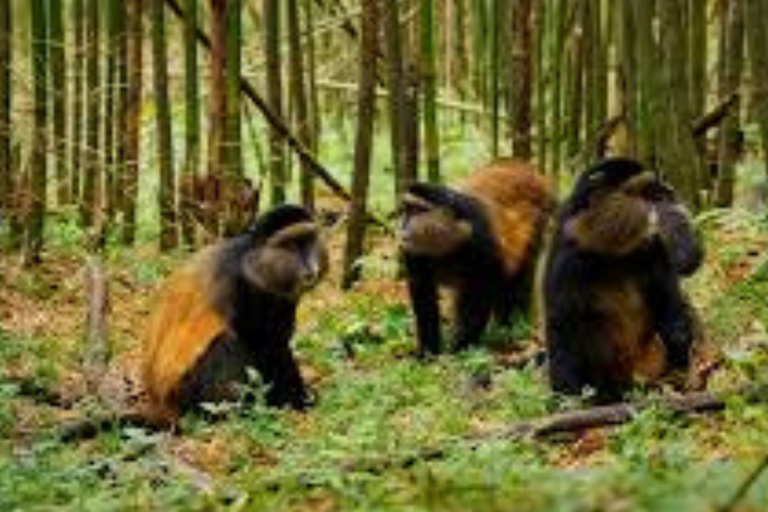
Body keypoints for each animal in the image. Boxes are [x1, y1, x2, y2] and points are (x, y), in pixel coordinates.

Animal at [142, 204, 327, 424]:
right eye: (290, 245)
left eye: (309, 239)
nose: (311, 269)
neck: (254, 263)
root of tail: (158, 400)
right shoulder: (241, 283)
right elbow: (266, 345)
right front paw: (295, 401)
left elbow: (278, 340)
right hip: (183, 390)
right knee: (227, 343)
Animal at [399, 159, 555, 355]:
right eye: (406, 211)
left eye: (418, 211)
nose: (403, 225)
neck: (448, 243)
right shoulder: (413, 255)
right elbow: (424, 299)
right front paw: (429, 353)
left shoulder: (480, 243)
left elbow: (479, 296)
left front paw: (461, 347)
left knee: (516, 282)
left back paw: (510, 326)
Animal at [544, 157, 704, 402]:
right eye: (648, 191)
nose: (671, 192)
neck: (611, 255)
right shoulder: (568, 259)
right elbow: (562, 323)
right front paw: (569, 399)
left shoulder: (654, 252)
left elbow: (671, 303)